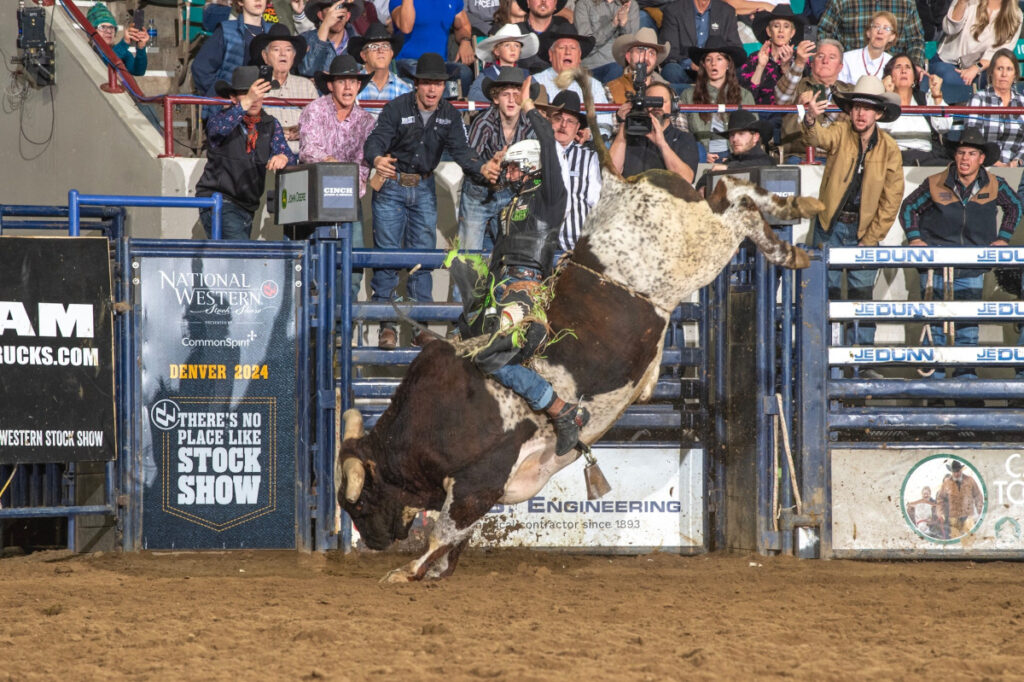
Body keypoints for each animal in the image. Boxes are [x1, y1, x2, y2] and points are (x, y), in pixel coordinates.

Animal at [337, 69, 823, 577]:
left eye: (359, 503)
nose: (374, 542)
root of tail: (620, 184)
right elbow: (455, 536)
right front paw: (436, 569)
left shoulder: (479, 479)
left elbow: (444, 530)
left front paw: (407, 571)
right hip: (696, 225)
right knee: (730, 193)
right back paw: (796, 211)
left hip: (697, 250)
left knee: (738, 208)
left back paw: (791, 236)